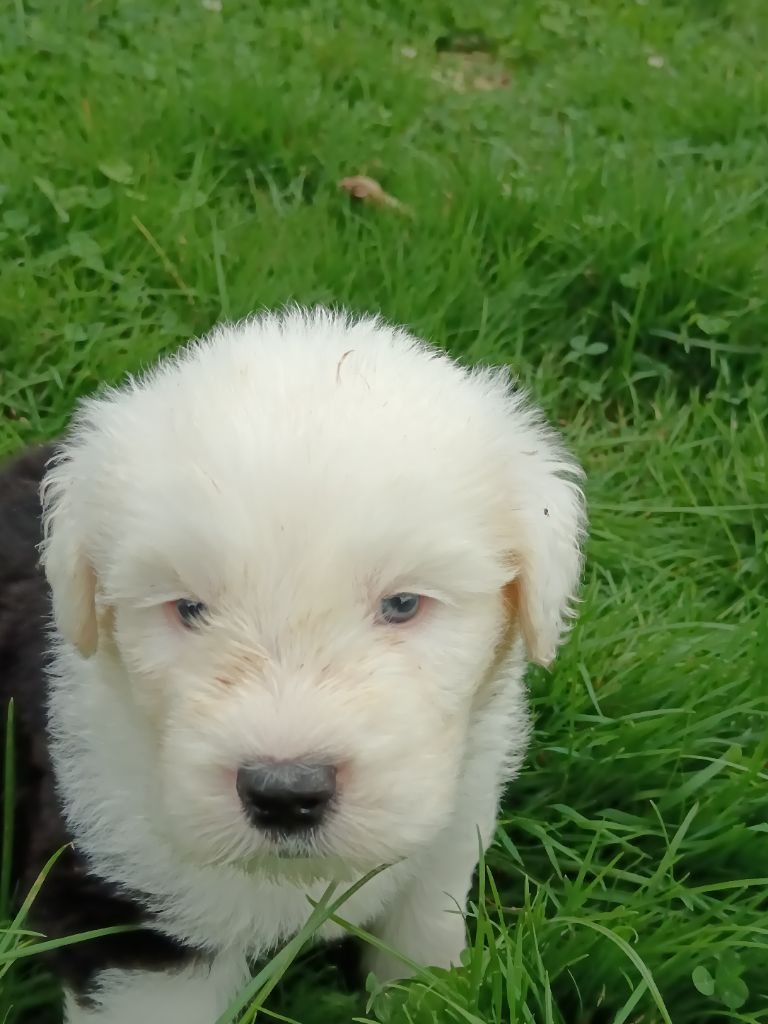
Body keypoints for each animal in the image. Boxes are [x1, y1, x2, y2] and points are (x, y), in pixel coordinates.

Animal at [0, 308, 585, 1023]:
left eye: (403, 604)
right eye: (187, 608)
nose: (285, 793)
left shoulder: (447, 843)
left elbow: (421, 949)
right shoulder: (126, 900)